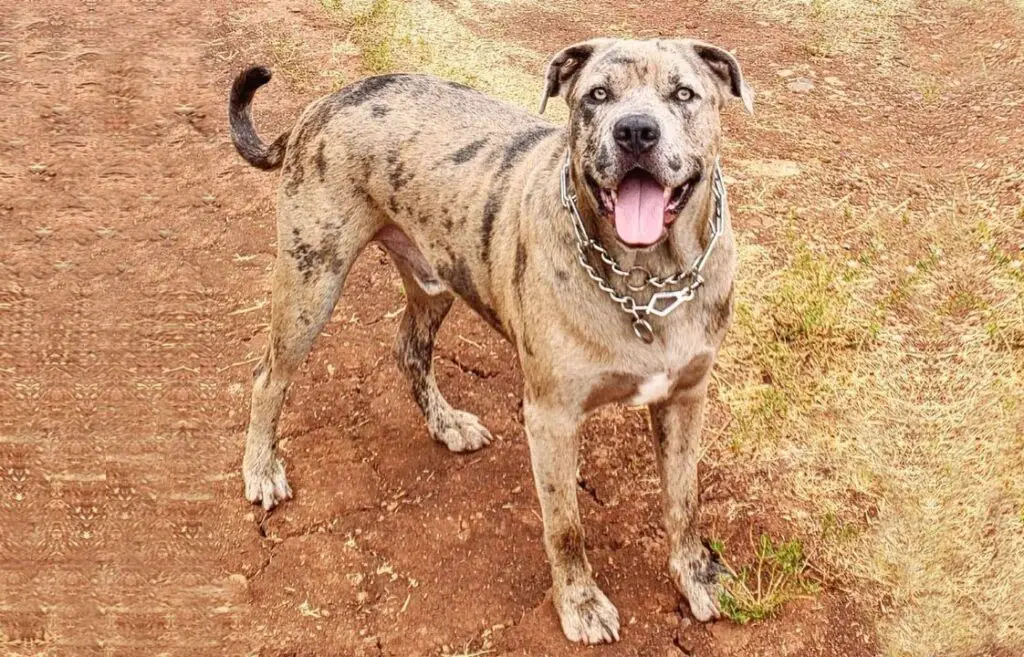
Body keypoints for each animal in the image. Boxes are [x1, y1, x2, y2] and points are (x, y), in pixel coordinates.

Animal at [228, 38, 749, 642]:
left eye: (683, 93)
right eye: (597, 95)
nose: (636, 131)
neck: (646, 281)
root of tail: (326, 101)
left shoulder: (685, 398)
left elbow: (684, 502)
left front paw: (698, 576)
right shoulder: (551, 417)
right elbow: (566, 526)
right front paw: (579, 602)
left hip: (433, 279)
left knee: (409, 350)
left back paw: (446, 423)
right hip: (311, 280)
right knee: (270, 377)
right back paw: (262, 468)